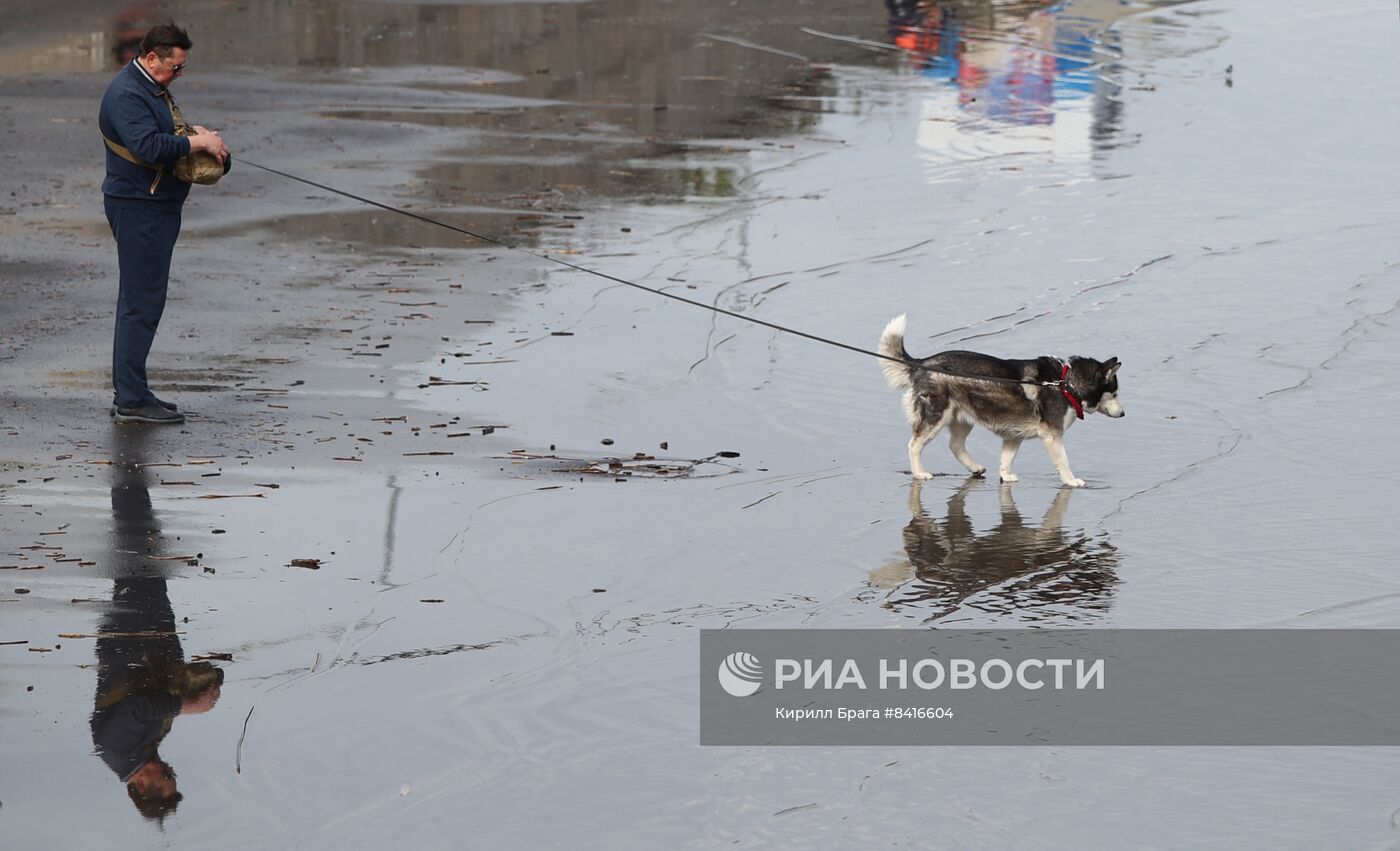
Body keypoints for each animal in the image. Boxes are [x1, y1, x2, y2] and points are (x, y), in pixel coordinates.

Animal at [879, 312, 1120, 484]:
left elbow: (1006, 459)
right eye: (1115, 392)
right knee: (914, 445)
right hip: (935, 417)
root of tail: (921, 362)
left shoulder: (1013, 435)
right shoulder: (1052, 436)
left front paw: (1005, 476)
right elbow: (1063, 460)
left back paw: (974, 468)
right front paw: (1071, 480)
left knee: (955, 445)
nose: (1124, 413)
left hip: (963, 418)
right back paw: (919, 473)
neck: (1065, 383)